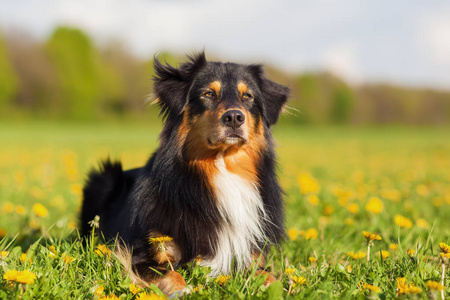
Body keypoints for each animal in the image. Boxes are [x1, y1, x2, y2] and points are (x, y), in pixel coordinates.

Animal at [80, 52, 288, 294]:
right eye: (208, 94)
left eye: (247, 96)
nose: (235, 117)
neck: (222, 166)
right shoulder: (142, 255)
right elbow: (171, 273)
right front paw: (183, 291)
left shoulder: (250, 256)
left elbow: (269, 276)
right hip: (103, 178)